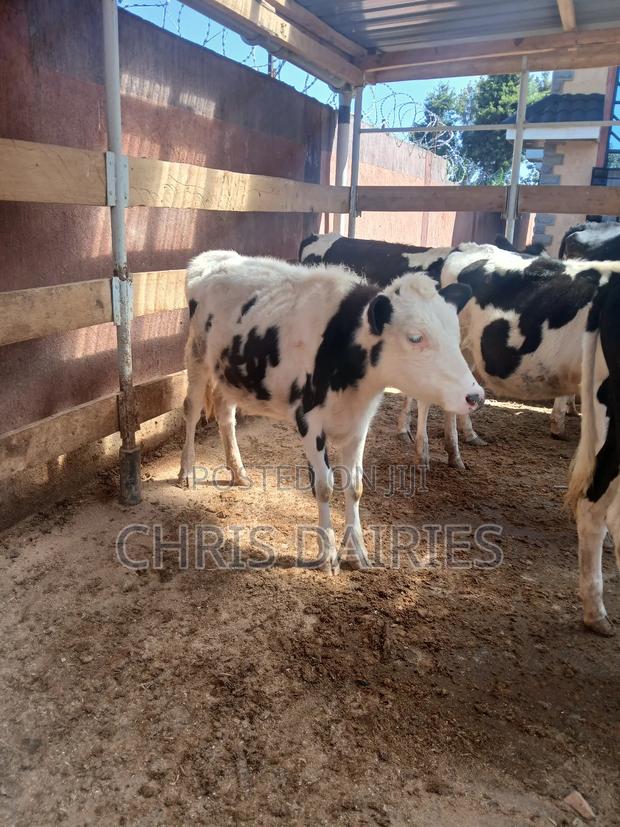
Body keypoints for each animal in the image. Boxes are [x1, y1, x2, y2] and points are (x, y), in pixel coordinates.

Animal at [178, 250, 484, 573]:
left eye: (454, 332)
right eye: (415, 337)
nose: (475, 395)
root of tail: (214, 256)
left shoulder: (359, 424)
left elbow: (355, 486)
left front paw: (358, 553)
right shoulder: (309, 422)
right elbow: (324, 486)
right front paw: (328, 556)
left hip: (228, 372)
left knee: (226, 415)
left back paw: (238, 472)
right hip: (196, 355)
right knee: (192, 409)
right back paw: (187, 472)